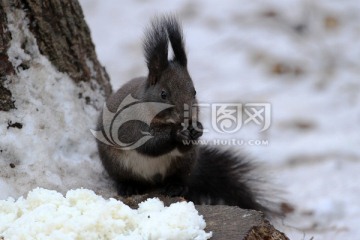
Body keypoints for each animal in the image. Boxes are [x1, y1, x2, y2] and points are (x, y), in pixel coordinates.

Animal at [97, 15, 274, 215]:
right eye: (163, 94)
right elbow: (149, 144)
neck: (166, 121)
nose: (187, 118)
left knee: (179, 178)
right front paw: (177, 134)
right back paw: (129, 186)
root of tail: (153, 181)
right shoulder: (133, 124)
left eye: (194, 92)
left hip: (184, 164)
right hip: (115, 164)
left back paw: (175, 186)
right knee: (124, 177)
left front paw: (197, 130)